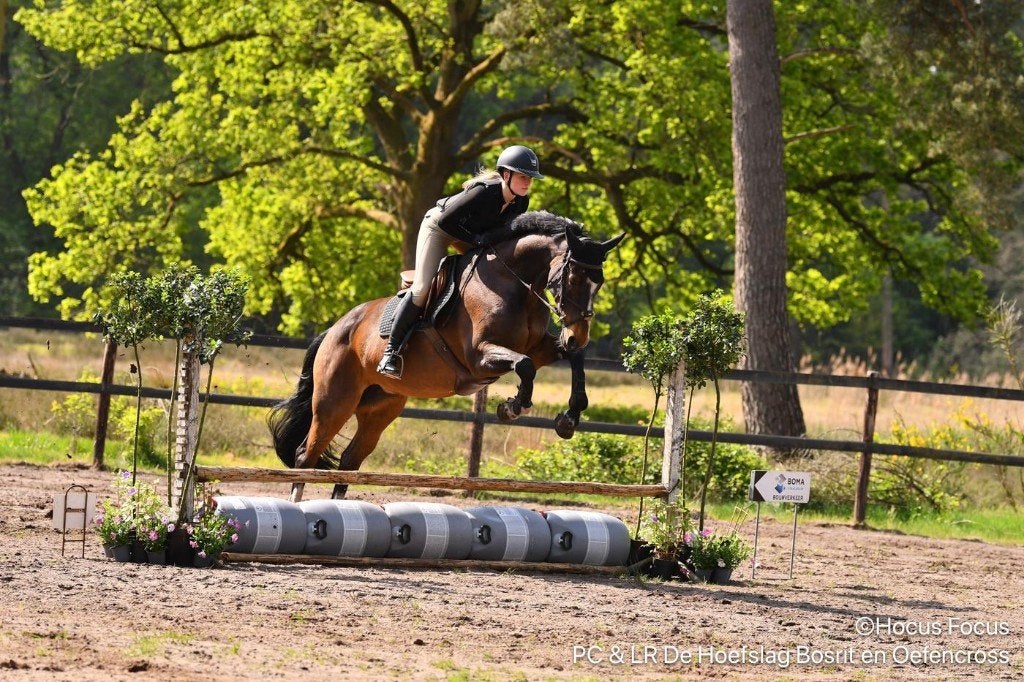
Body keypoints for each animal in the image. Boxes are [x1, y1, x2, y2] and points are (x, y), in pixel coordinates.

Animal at [268, 210, 625, 501]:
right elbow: (524, 366)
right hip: (335, 401)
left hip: (381, 407)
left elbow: (572, 359)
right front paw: (512, 407)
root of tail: (334, 330)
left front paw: (569, 418)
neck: (516, 284)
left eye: (600, 282)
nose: (577, 334)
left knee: (350, 461)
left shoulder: (538, 348)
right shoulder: (479, 357)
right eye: (572, 277)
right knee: (306, 455)